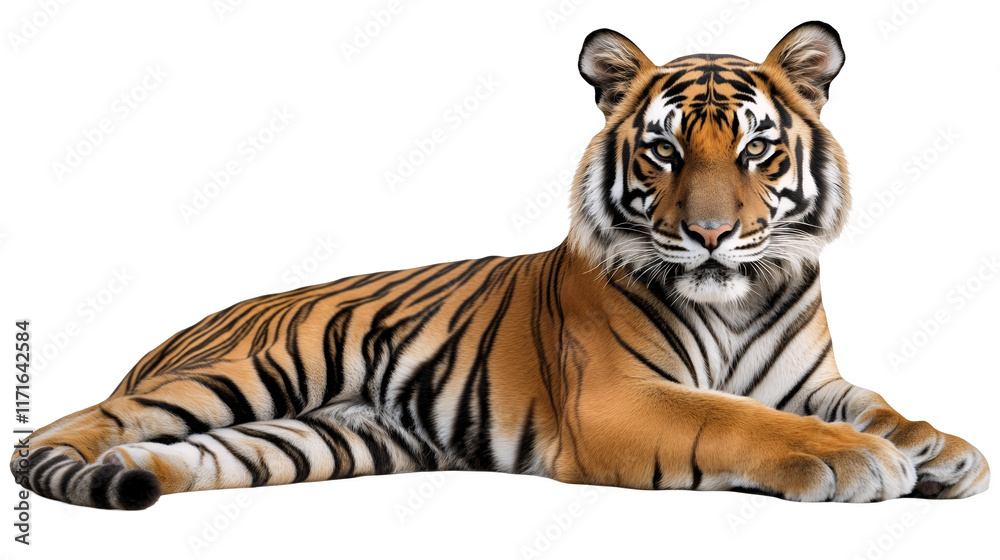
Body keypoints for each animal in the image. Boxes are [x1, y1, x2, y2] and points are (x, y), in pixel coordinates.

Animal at [11, 21, 989, 510]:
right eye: (665, 151)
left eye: (756, 151)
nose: (711, 235)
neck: (738, 299)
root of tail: (178, 329)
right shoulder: (618, 399)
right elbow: (742, 418)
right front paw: (861, 461)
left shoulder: (811, 379)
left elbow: (874, 402)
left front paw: (943, 450)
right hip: (242, 372)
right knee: (71, 424)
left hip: (313, 437)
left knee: (190, 455)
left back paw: (137, 474)